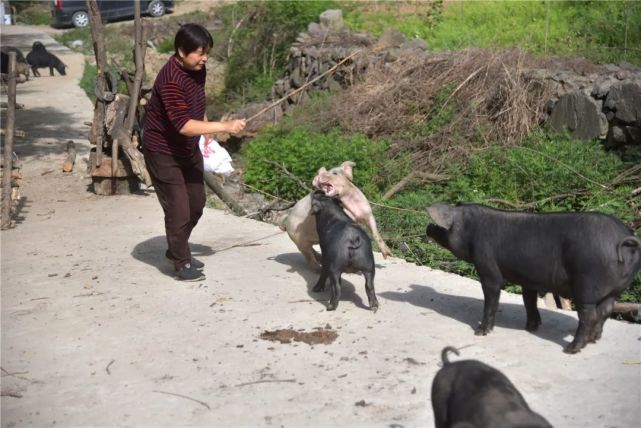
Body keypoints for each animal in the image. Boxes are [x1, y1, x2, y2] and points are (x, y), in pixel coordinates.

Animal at [424, 202, 640, 352]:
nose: (427, 227)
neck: (471, 228)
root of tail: (622, 239)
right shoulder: (528, 278)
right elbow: (529, 300)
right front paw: (531, 328)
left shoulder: (486, 264)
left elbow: (492, 294)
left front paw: (480, 332)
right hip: (615, 289)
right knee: (606, 310)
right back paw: (593, 340)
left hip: (586, 284)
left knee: (589, 315)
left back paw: (571, 349)